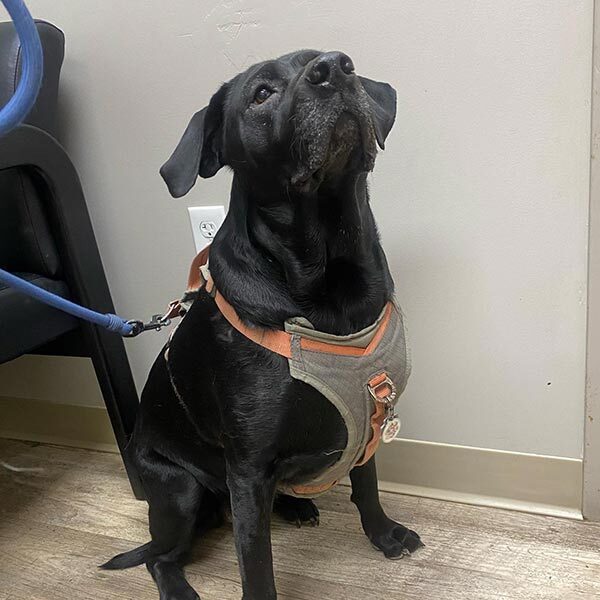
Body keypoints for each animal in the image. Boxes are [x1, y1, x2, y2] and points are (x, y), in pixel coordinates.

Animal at [103, 50, 422, 600]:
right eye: (261, 94)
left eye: (335, 59)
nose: (334, 68)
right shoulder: (249, 472)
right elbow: (256, 565)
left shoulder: (369, 419)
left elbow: (368, 486)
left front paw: (384, 534)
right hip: (182, 492)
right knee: (160, 557)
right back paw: (178, 586)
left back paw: (294, 504)